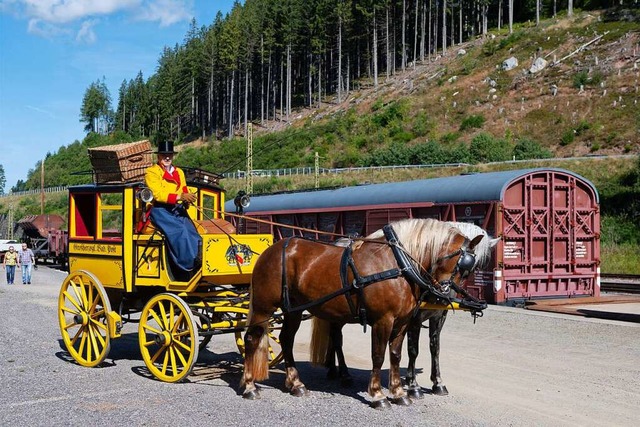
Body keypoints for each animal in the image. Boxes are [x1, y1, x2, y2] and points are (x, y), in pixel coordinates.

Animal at [242, 219, 482, 410]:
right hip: (264, 308)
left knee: (287, 340)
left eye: (469, 270)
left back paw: (295, 384)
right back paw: (250, 386)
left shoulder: (402, 322)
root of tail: (272, 250)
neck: (397, 263)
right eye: (462, 266)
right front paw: (378, 395)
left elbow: (396, 355)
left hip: (294, 309)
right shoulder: (383, 320)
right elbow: (378, 356)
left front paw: (398, 392)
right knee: (251, 338)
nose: (441, 299)